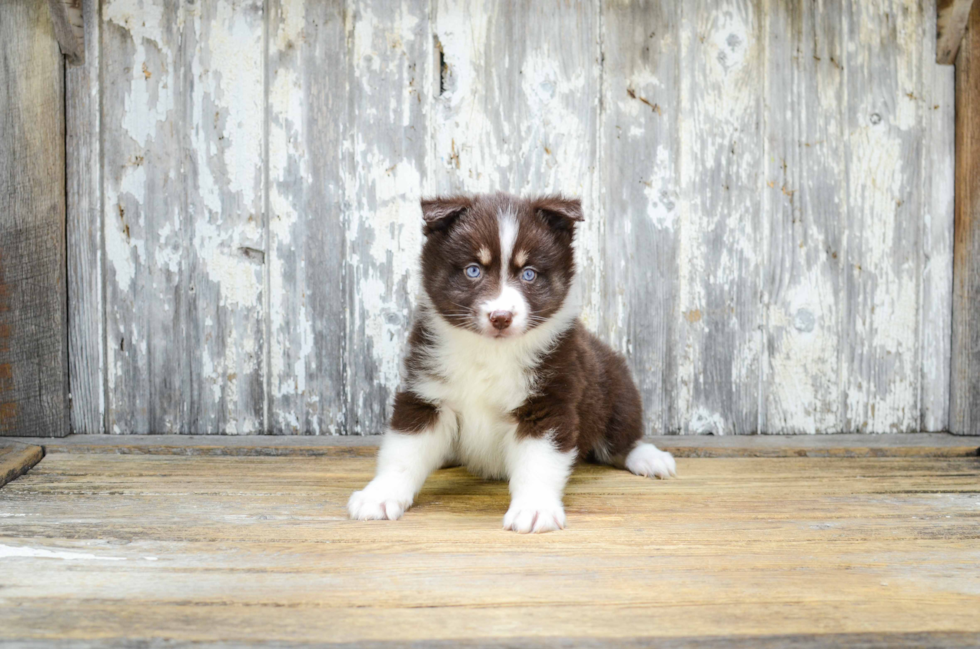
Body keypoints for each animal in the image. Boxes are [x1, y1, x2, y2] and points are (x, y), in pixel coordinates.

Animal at [348, 191, 676, 532]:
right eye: (473, 270)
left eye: (529, 273)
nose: (501, 317)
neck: (490, 352)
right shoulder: (426, 394)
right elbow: (403, 451)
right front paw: (380, 495)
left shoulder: (547, 403)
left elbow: (538, 463)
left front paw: (534, 508)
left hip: (616, 392)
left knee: (621, 439)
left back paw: (649, 457)